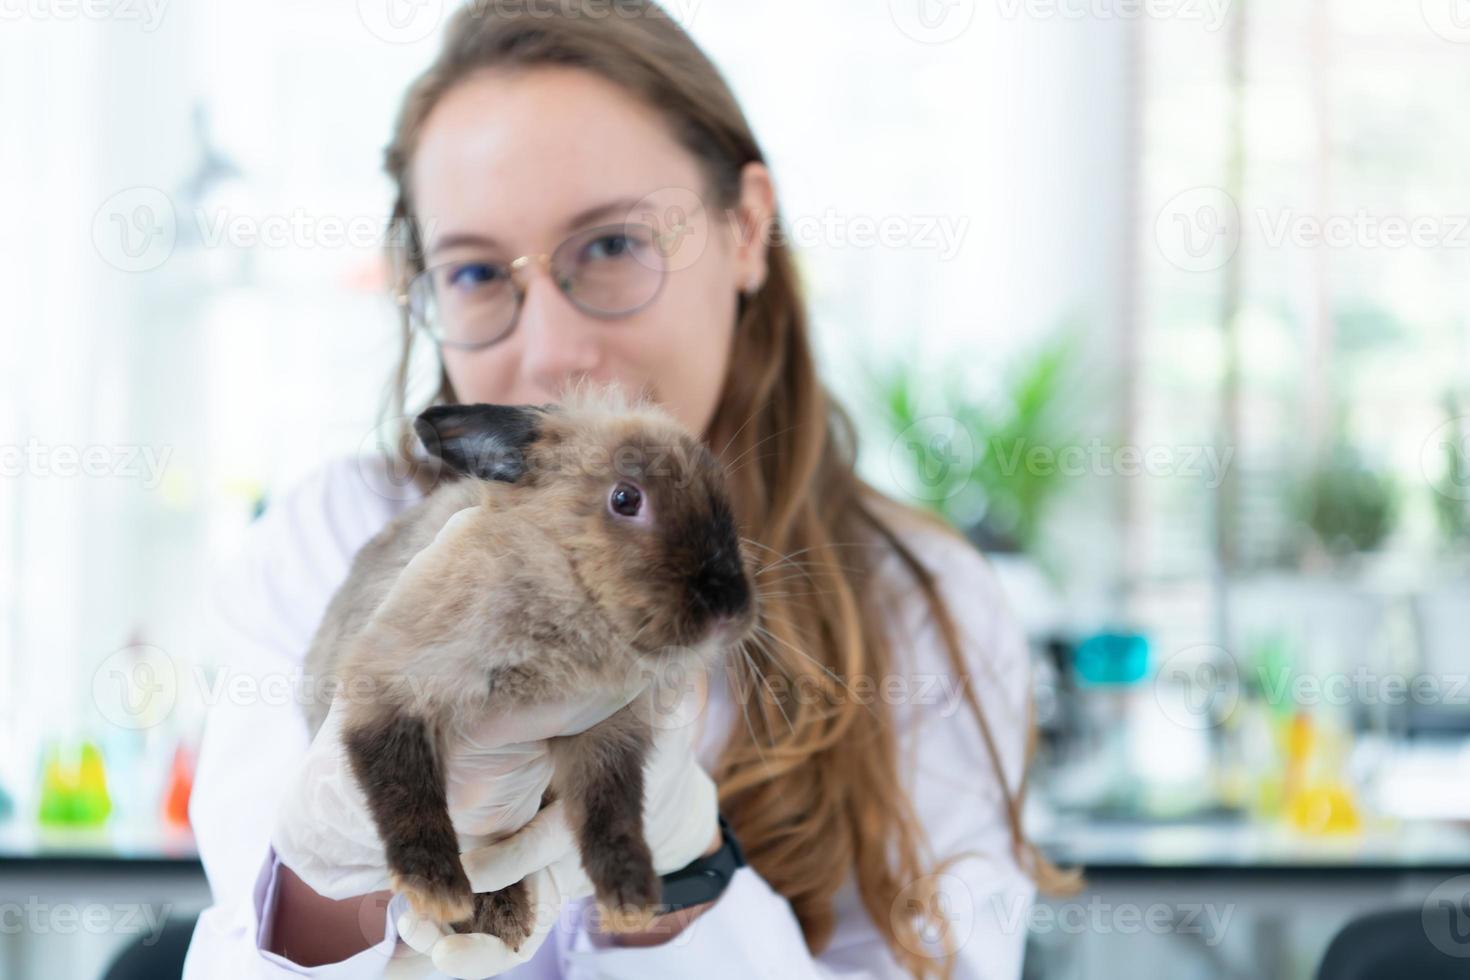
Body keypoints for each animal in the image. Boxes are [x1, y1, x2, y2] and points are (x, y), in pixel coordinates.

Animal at [299, 382, 757, 950]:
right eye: (625, 498)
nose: (730, 609)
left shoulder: (605, 741)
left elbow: (613, 814)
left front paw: (630, 901)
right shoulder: (392, 684)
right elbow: (404, 790)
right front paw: (437, 892)